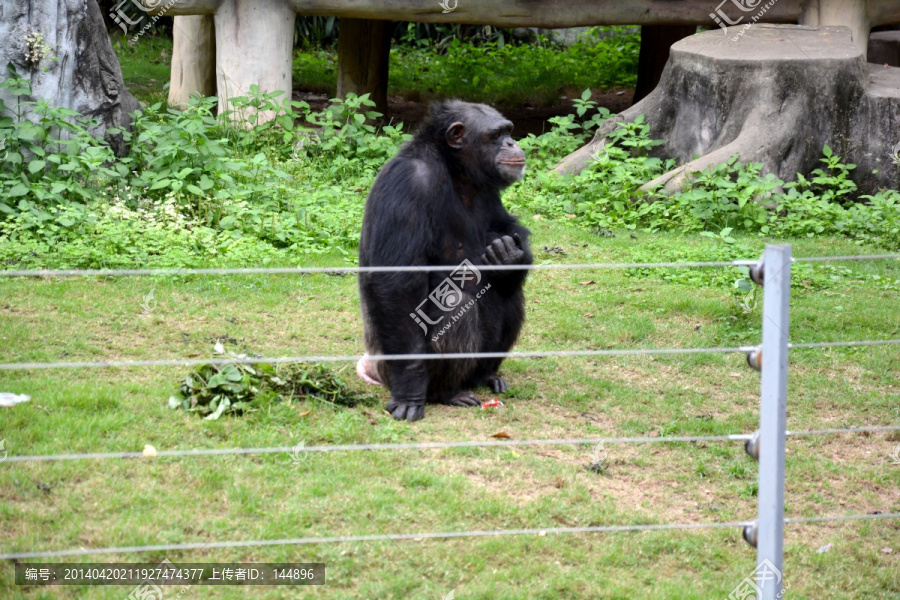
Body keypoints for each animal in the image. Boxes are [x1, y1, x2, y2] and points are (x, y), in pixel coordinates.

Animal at [356, 99, 532, 422]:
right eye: (496, 135)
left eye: (508, 131)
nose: (512, 142)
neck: (455, 171)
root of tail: (371, 367)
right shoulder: (409, 183)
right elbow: (398, 283)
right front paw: (410, 391)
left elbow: (506, 225)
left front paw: (511, 255)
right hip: (389, 368)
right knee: (454, 305)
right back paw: (446, 393)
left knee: (510, 294)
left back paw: (486, 376)